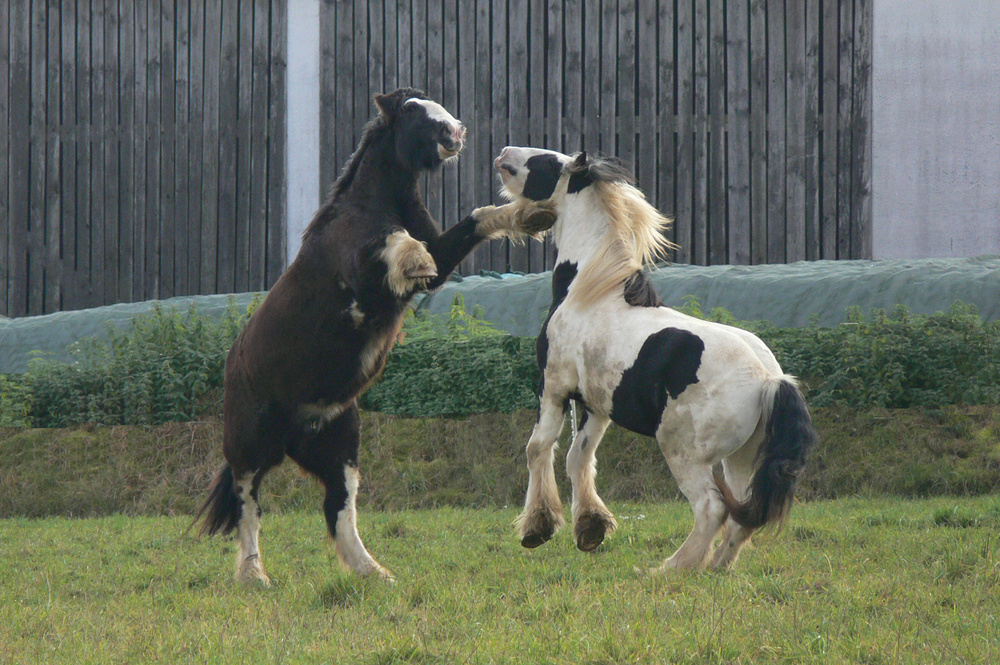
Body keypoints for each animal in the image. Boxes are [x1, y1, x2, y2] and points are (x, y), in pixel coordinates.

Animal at [193, 88, 548, 580]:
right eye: (413, 110)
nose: (456, 131)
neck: (376, 203)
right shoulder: (360, 273)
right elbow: (391, 244)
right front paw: (412, 255)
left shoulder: (439, 262)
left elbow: (477, 218)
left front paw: (532, 215)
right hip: (249, 444)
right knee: (248, 504)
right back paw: (254, 576)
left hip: (339, 444)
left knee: (338, 509)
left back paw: (375, 573)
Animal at [494, 145, 820, 572]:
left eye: (546, 161)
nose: (503, 154)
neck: (588, 291)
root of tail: (770, 381)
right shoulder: (596, 405)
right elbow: (579, 457)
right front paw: (590, 529)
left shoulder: (554, 387)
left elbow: (539, 448)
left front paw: (537, 528)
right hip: (740, 458)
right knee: (742, 514)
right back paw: (714, 568)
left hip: (683, 453)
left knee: (712, 508)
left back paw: (670, 569)